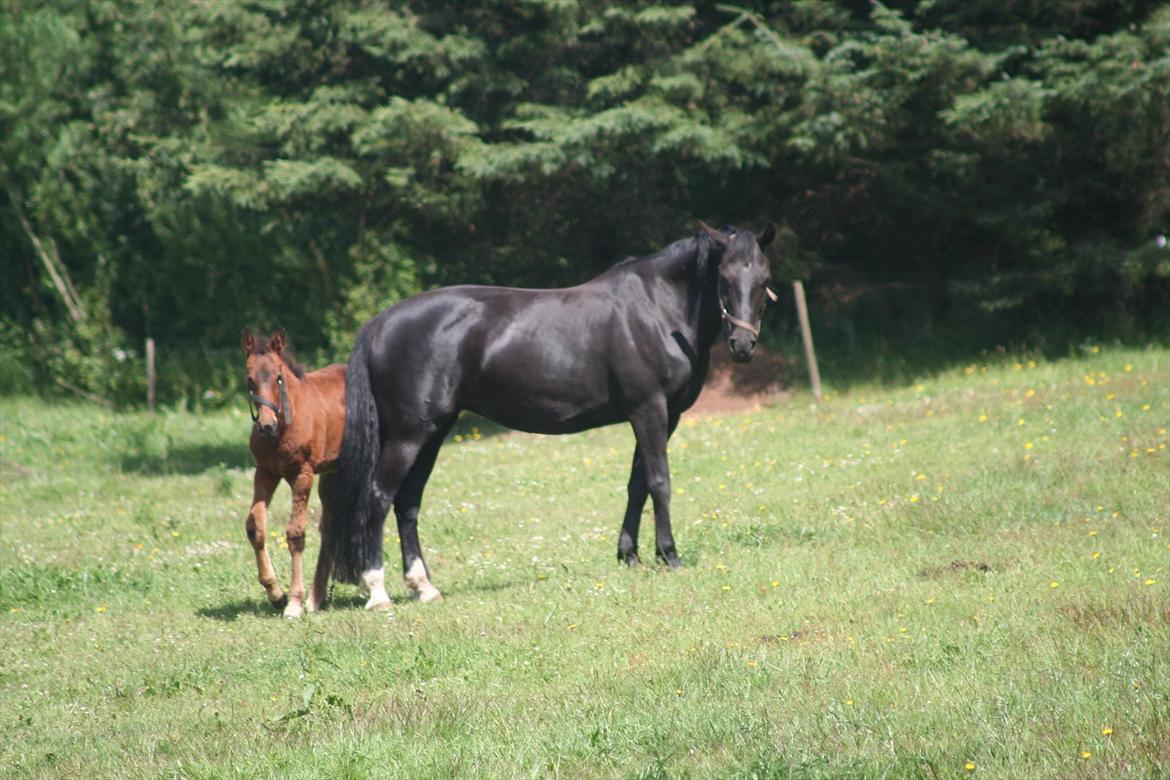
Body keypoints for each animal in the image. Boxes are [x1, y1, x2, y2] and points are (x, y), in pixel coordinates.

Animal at [239, 327, 343, 617]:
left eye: (278, 377)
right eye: (249, 379)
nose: (266, 425)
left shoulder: (302, 474)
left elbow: (295, 533)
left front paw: (294, 602)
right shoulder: (265, 472)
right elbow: (254, 526)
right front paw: (276, 593)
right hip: (332, 472)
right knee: (330, 524)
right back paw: (318, 596)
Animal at [325, 222, 776, 608]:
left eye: (763, 279)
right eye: (724, 277)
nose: (742, 345)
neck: (657, 310)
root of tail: (379, 323)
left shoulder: (660, 416)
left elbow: (637, 485)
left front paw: (629, 556)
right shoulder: (650, 410)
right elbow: (660, 483)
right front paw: (669, 555)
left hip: (433, 433)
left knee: (408, 502)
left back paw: (424, 586)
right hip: (407, 437)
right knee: (379, 497)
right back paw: (378, 591)